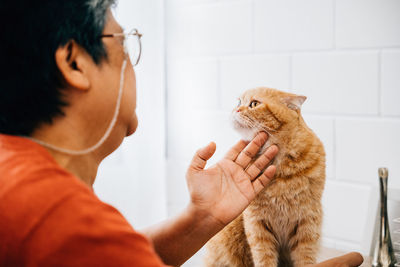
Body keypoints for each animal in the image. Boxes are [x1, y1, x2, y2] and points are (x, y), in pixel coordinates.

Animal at [206, 88, 324, 267]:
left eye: (254, 104)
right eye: (239, 102)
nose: (236, 110)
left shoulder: (307, 223)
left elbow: (305, 258)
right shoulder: (257, 225)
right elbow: (264, 258)